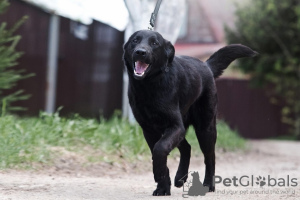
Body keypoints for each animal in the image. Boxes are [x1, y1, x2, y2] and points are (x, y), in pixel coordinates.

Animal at [123, 29, 256, 195]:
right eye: (135, 40)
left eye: (154, 43)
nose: (140, 52)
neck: (149, 86)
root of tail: (206, 66)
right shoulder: (149, 130)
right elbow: (158, 153)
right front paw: (163, 187)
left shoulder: (175, 126)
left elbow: (160, 149)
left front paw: (159, 175)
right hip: (181, 131)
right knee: (187, 147)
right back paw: (180, 177)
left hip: (205, 130)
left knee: (210, 157)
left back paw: (208, 185)